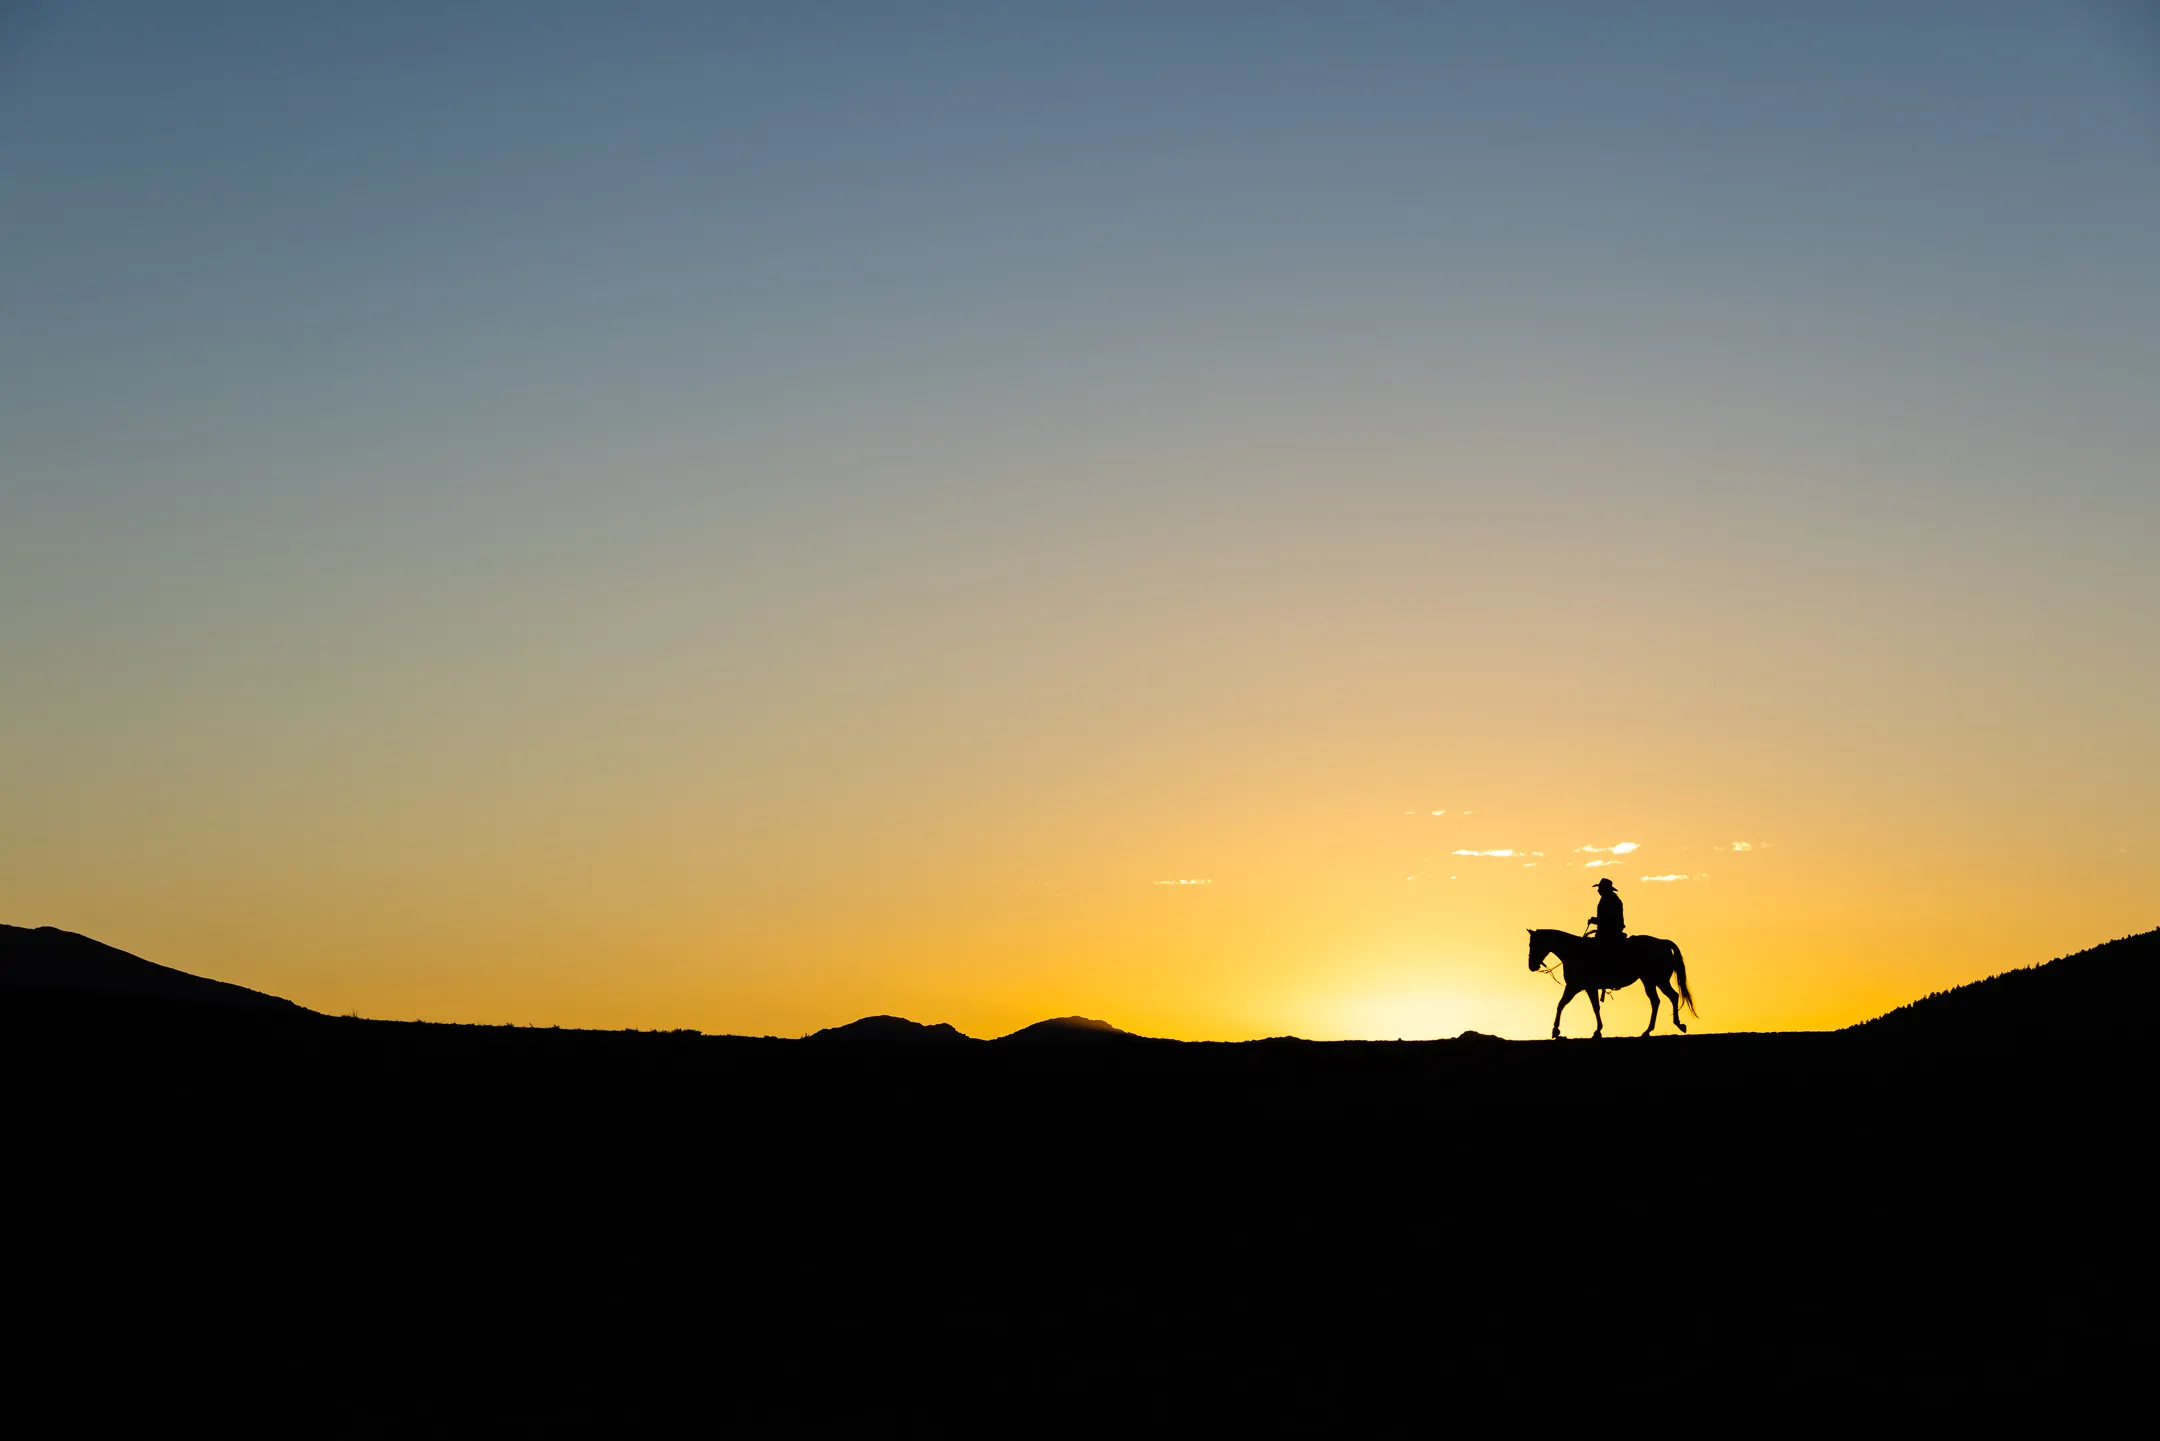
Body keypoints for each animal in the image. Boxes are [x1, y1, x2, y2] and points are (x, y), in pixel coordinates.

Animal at [1529, 937, 1693, 1037]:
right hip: (1649, 981)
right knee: (1656, 1001)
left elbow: (1561, 1004)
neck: (1573, 951)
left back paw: (1678, 1024)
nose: (1531, 966)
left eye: (1533, 944)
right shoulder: (1589, 988)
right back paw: (1647, 1031)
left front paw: (1555, 1030)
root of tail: (1663, 942)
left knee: (1673, 996)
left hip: (1659, 980)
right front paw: (1598, 1030)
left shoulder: (1574, 986)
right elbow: (1595, 1007)